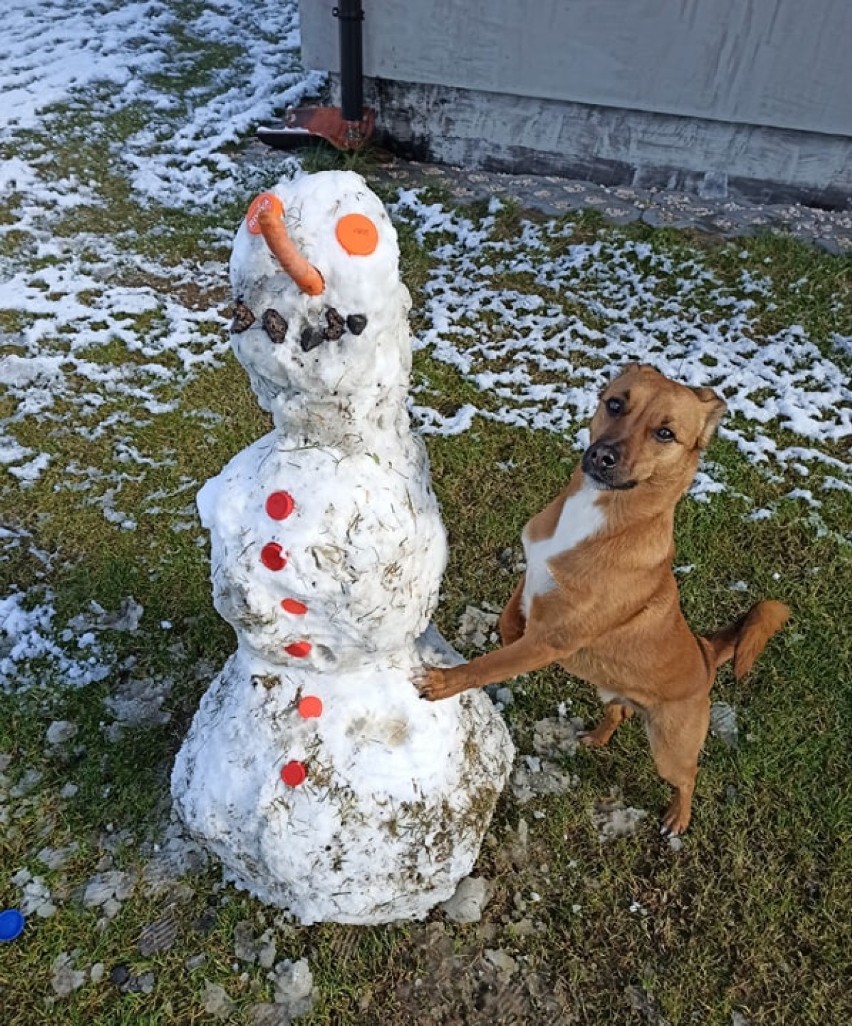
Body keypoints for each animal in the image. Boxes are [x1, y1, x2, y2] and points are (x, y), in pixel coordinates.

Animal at [420, 365, 792, 837]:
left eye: (665, 433)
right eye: (615, 403)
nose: (602, 457)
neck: (599, 514)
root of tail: (707, 654)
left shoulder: (550, 642)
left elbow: (486, 667)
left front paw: (443, 681)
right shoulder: (532, 570)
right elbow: (508, 621)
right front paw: (507, 632)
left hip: (669, 749)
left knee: (687, 778)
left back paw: (678, 817)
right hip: (614, 693)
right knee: (617, 714)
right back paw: (596, 738)